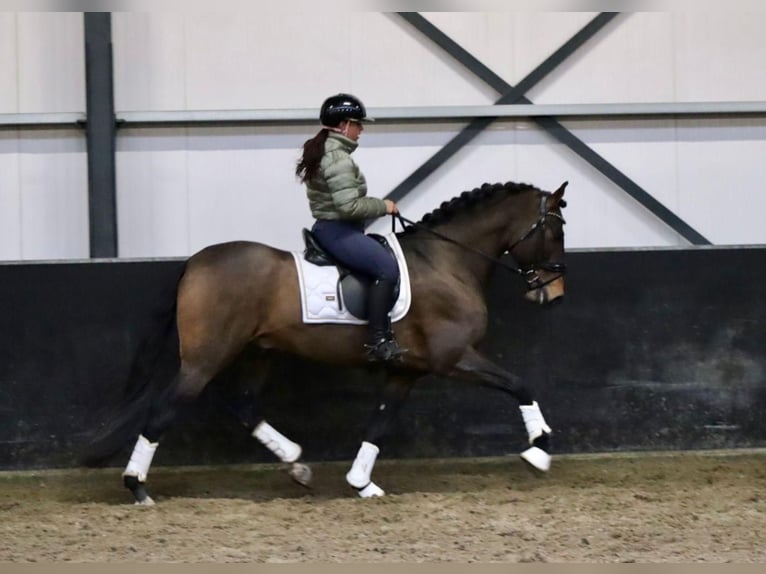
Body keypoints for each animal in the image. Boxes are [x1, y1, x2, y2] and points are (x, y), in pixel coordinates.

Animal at [84, 179, 568, 504]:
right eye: (556, 230)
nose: (555, 293)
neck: (445, 260)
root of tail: (195, 263)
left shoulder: (406, 371)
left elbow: (378, 424)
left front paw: (362, 483)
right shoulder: (453, 358)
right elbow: (521, 385)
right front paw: (538, 452)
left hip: (257, 352)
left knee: (244, 406)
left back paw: (297, 463)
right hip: (205, 360)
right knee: (163, 411)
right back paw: (137, 487)